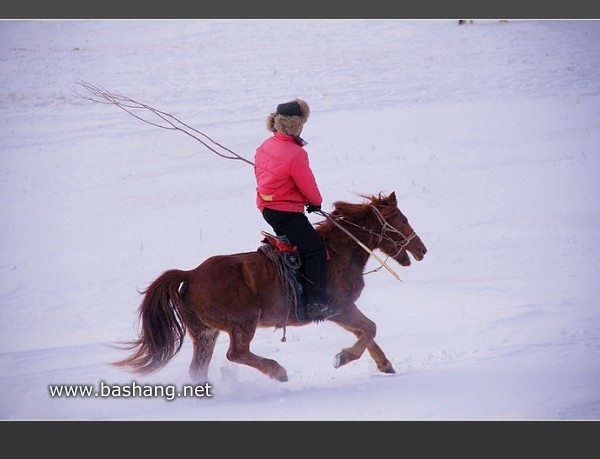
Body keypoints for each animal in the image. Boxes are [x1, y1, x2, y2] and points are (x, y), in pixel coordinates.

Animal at [113, 192, 426, 382]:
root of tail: (190, 275)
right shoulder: (340, 308)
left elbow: (367, 332)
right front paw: (342, 357)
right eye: (403, 219)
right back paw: (277, 371)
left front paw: (385, 365)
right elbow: (370, 328)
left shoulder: (341, 312)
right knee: (236, 354)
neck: (339, 250)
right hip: (242, 324)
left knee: (198, 369)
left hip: (205, 333)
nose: (422, 249)